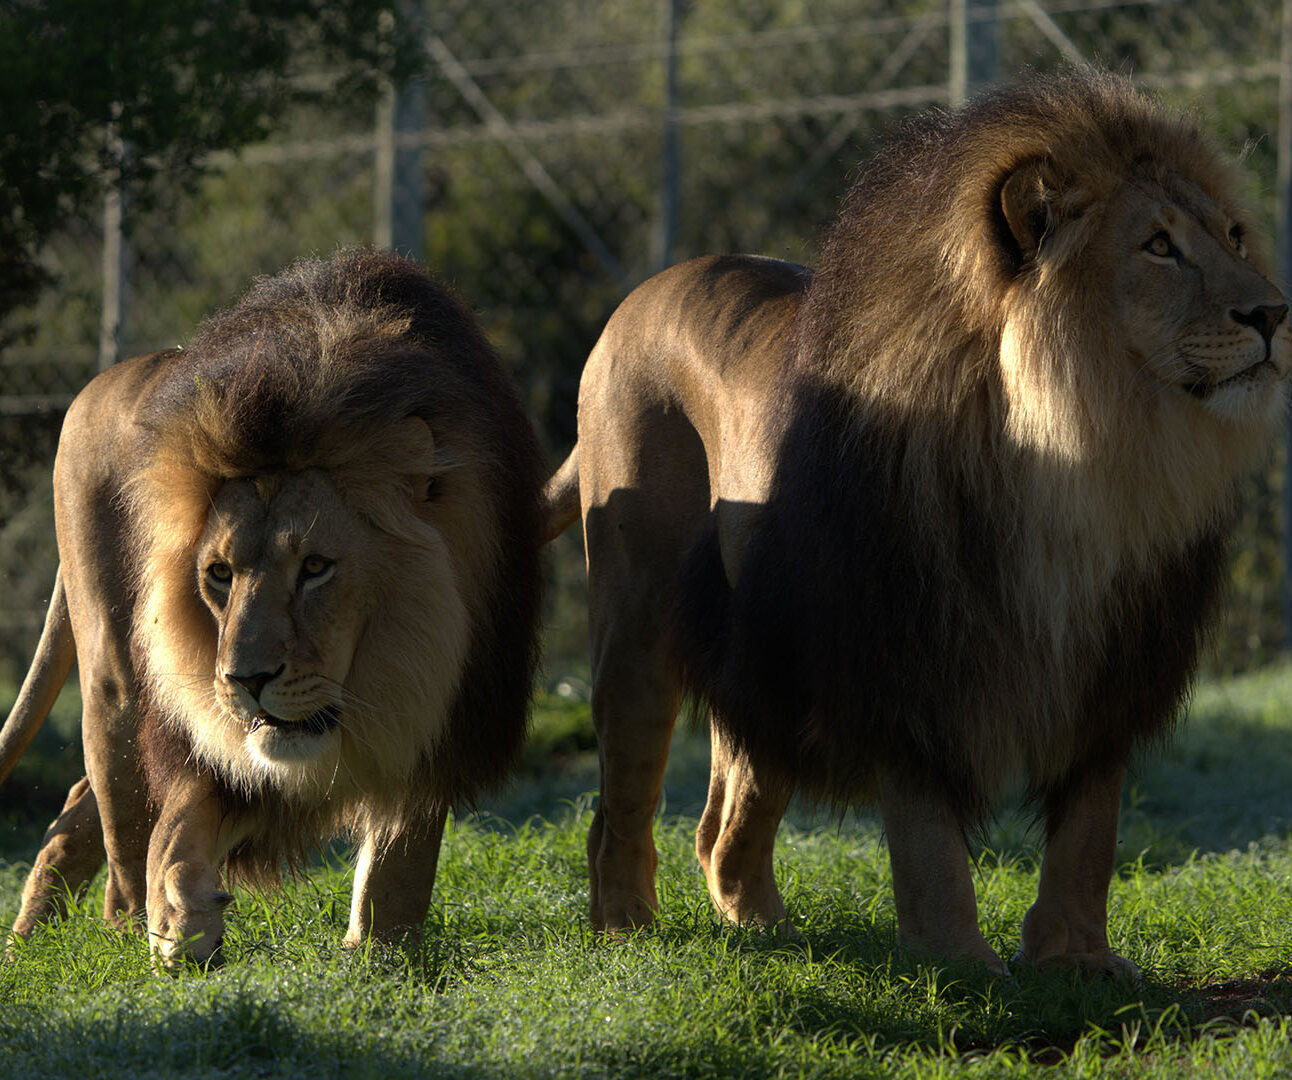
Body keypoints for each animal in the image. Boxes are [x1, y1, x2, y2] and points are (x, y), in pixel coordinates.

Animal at [0, 249, 545, 965]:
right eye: (219, 575)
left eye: (315, 568)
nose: (246, 680)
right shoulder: (203, 727)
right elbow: (175, 827)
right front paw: (179, 919)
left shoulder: (437, 713)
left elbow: (399, 858)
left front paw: (378, 955)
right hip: (115, 691)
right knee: (119, 845)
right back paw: (105, 936)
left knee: (80, 812)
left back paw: (31, 945)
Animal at [543, 69, 1291, 974]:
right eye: (1157, 247)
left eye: (1234, 236)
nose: (1275, 314)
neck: (1088, 460)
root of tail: (634, 303)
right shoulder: (904, 647)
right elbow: (931, 835)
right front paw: (957, 962)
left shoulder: (1115, 663)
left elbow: (1090, 830)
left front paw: (1076, 960)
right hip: (638, 627)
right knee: (618, 805)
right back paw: (627, 934)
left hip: (766, 648)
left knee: (724, 824)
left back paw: (763, 928)